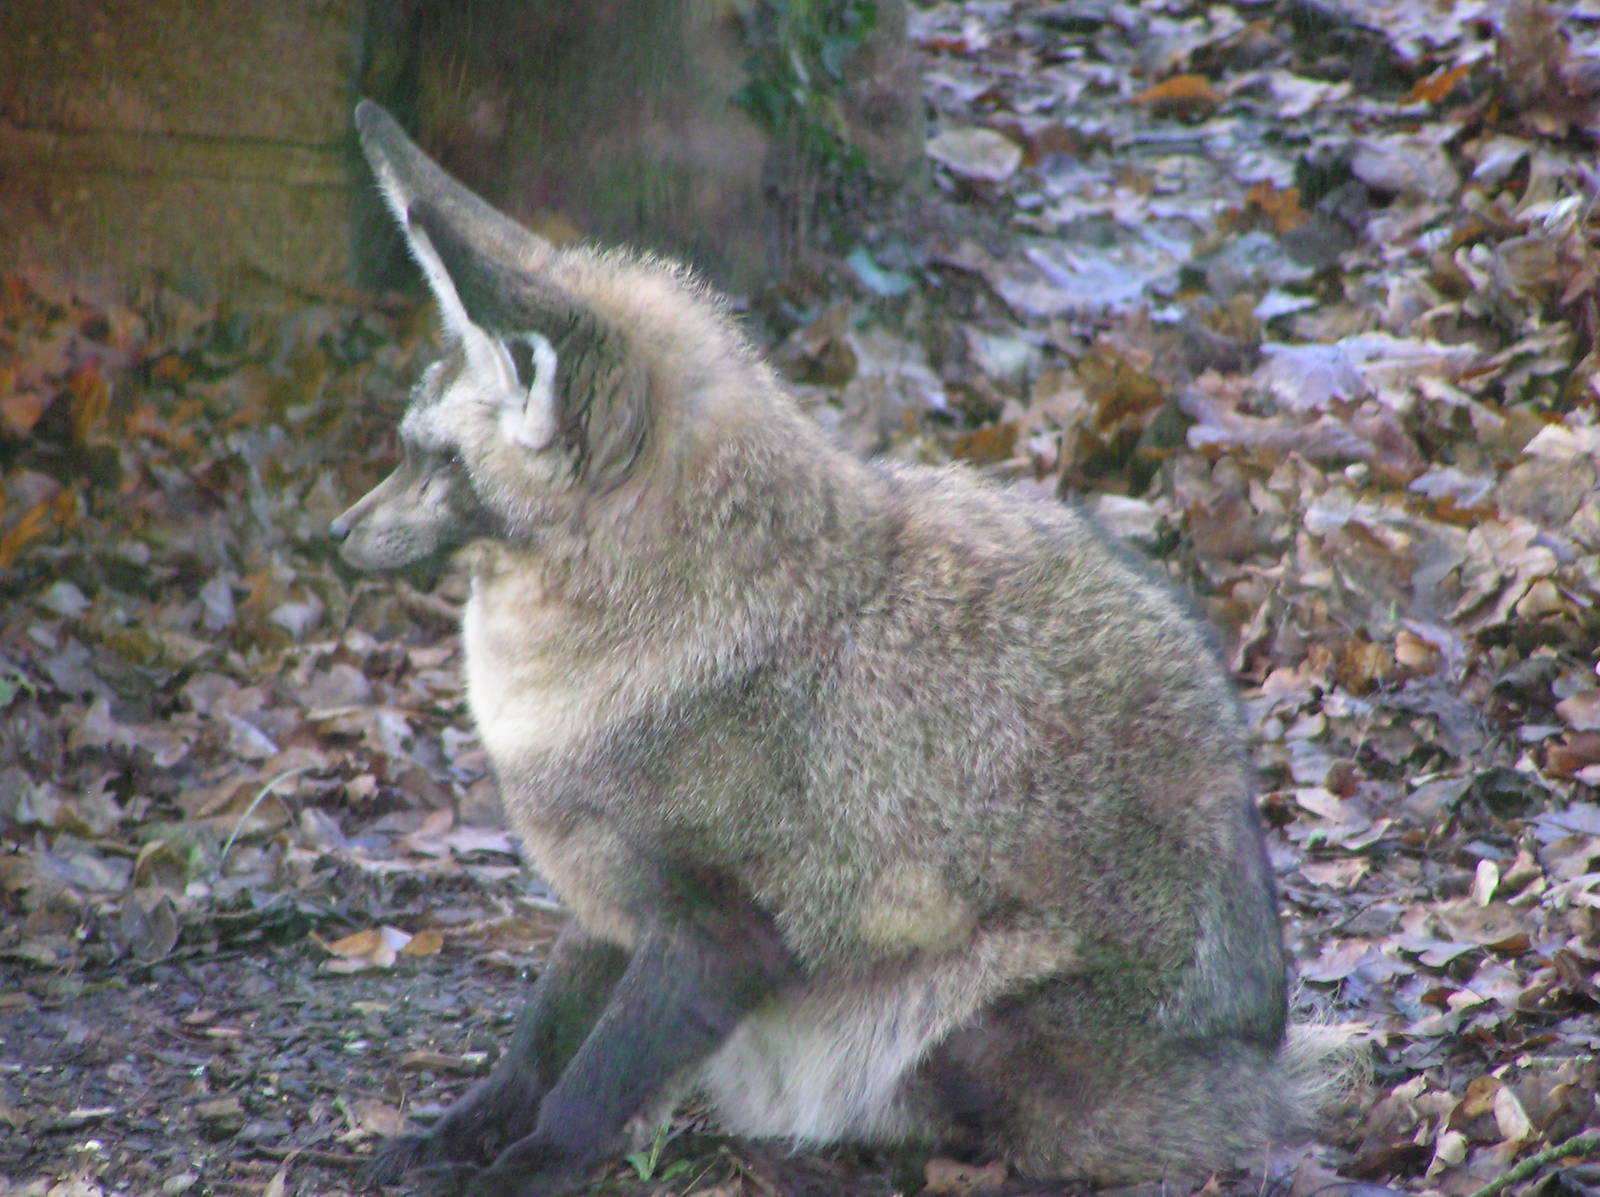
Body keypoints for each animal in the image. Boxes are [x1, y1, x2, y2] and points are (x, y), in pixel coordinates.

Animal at [333, 99, 1346, 1197]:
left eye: (430, 461)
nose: (334, 533)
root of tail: (1261, 1052)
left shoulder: (719, 931)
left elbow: (591, 1085)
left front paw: (521, 1170)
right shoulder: (608, 903)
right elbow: (537, 1046)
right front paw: (459, 1132)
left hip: (967, 1040)